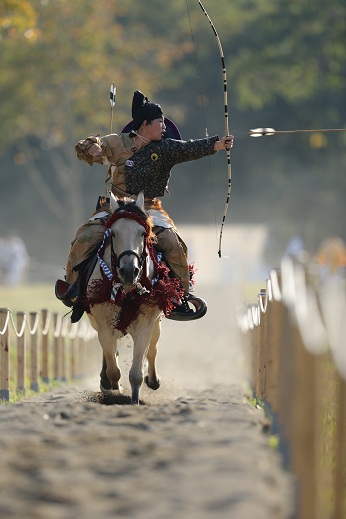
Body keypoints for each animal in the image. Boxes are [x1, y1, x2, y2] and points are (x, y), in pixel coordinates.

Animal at [84, 192, 184, 406]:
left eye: (142, 233)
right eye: (113, 233)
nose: (129, 271)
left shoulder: (145, 324)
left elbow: (136, 372)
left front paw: (135, 400)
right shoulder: (104, 326)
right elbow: (113, 368)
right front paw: (112, 387)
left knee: (153, 348)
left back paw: (153, 379)